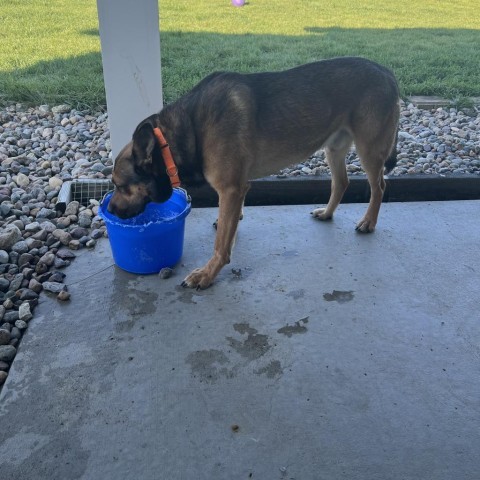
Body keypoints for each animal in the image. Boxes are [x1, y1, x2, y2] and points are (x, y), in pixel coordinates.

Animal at [109, 56, 402, 288]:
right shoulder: (237, 188)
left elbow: (221, 245)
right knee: (341, 182)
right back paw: (328, 213)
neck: (186, 131)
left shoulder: (230, 189)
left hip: (369, 150)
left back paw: (369, 222)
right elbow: (229, 224)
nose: (109, 210)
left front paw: (207, 274)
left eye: (120, 185)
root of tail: (386, 71)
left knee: (379, 187)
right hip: (334, 149)